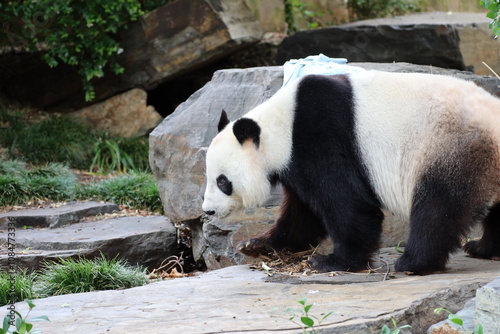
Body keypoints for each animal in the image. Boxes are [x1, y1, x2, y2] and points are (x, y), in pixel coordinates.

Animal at [200, 70, 500, 274]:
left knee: (439, 208)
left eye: (223, 181)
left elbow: (348, 204)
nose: (208, 211)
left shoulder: (319, 135)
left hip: (450, 149)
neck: (279, 125)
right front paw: (256, 245)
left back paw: (414, 262)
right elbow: (303, 214)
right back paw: (483, 248)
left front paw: (332, 261)